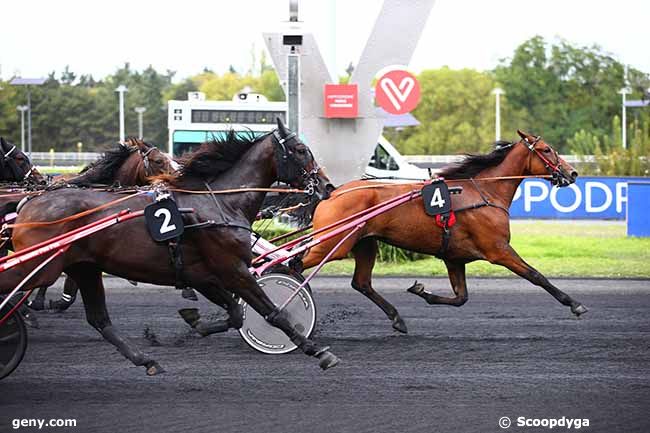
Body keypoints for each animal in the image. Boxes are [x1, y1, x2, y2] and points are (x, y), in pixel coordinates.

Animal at [3, 120, 340, 372]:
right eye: (301, 150)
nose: (327, 186)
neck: (219, 203)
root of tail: (28, 203)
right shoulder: (233, 270)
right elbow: (273, 312)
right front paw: (316, 350)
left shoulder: (203, 275)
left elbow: (235, 314)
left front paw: (195, 322)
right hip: (40, 266)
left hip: (83, 267)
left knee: (99, 320)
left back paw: (145, 360)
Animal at [300, 130, 588, 332]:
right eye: (546, 149)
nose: (572, 173)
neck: (484, 193)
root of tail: (332, 193)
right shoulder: (499, 250)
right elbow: (536, 276)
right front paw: (575, 304)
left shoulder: (454, 257)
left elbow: (461, 298)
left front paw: (421, 291)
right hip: (332, 245)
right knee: (295, 265)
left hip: (364, 243)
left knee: (361, 282)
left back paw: (397, 319)